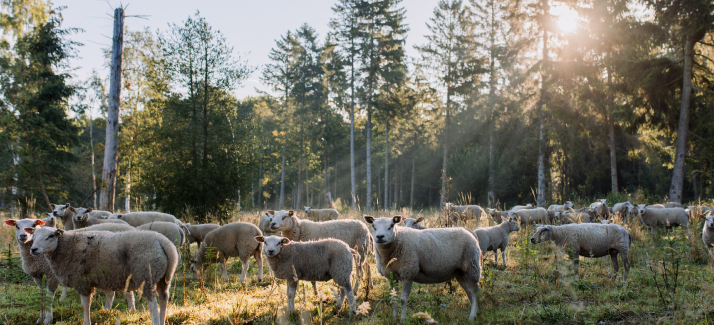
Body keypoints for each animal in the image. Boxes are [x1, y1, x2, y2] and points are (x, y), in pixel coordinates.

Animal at [27, 225, 178, 324]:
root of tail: (164, 242)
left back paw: (156, 321)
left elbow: (85, 306)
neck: (66, 246)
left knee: (153, 304)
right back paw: (163, 320)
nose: (33, 249)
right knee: (164, 298)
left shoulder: (82, 282)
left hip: (146, 276)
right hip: (164, 278)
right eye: (33, 236)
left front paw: (86, 322)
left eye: (50, 236)